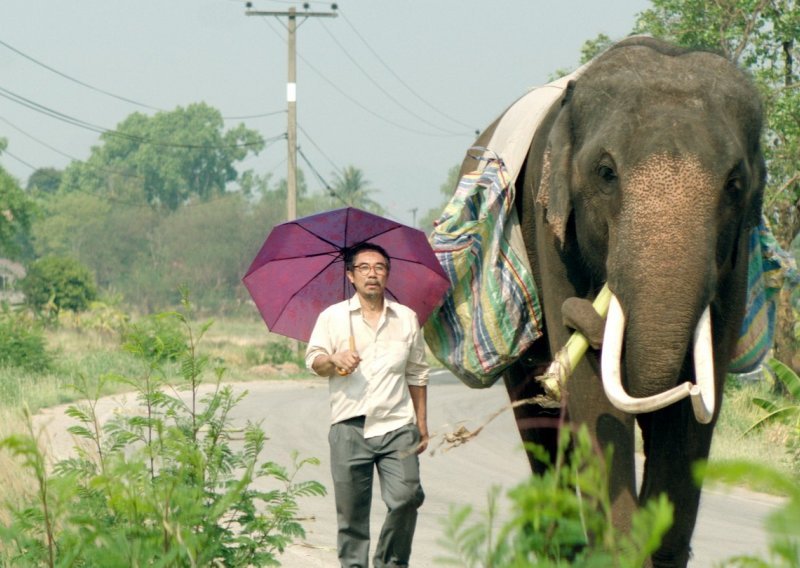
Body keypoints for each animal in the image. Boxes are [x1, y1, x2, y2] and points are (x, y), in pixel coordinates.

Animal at [462, 37, 768, 564]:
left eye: (734, 185)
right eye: (606, 173)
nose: (582, 316)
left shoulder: (734, 261)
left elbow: (695, 410)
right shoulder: (549, 222)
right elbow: (592, 399)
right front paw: (619, 552)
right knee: (541, 423)